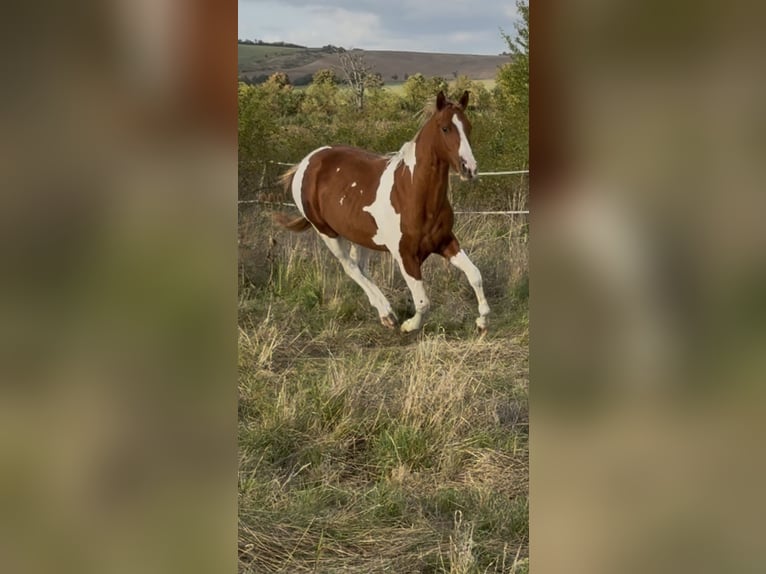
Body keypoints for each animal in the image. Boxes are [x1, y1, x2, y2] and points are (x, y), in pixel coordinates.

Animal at [274, 90, 490, 333]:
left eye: (468, 127)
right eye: (445, 128)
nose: (469, 169)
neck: (412, 193)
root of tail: (306, 162)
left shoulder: (446, 242)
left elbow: (475, 275)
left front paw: (482, 322)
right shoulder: (405, 255)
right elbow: (423, 302)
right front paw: (409, 326)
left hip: (360, 235)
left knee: (360, 266)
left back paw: (386, 314)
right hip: (327, 233)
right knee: (350, 267)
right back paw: (387, 313)